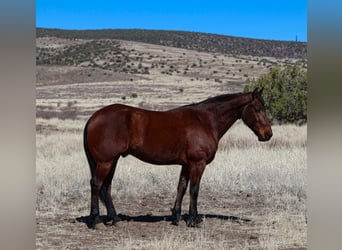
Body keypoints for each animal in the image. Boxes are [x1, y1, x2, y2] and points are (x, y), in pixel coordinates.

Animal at [83, 88, 272, 229]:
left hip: (112, 161)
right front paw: (194, 220)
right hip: (105, 162)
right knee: (96, 185)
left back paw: (115, 219)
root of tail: (93, 117)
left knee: (106, 187)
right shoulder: (197, 164)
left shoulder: (186, 165)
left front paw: (177, 217)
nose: (268, 134)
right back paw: (97, 221)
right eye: (257, 109)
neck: (205, 121)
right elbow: (194, 189)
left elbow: (181, 187)